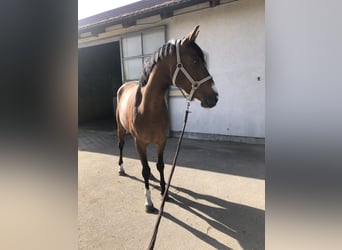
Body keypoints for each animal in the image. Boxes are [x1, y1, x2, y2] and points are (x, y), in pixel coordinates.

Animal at [116, 25, 218, 213]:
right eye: (195, 61)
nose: (215, 97)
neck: (147, 108)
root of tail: (124, 85)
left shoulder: (161, 141)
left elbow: (160, 165)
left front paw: (165, 193)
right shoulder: (140, 142)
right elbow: (144, 170)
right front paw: (149, 202)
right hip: (121, 128)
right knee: (121, 146)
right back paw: (121, 168)